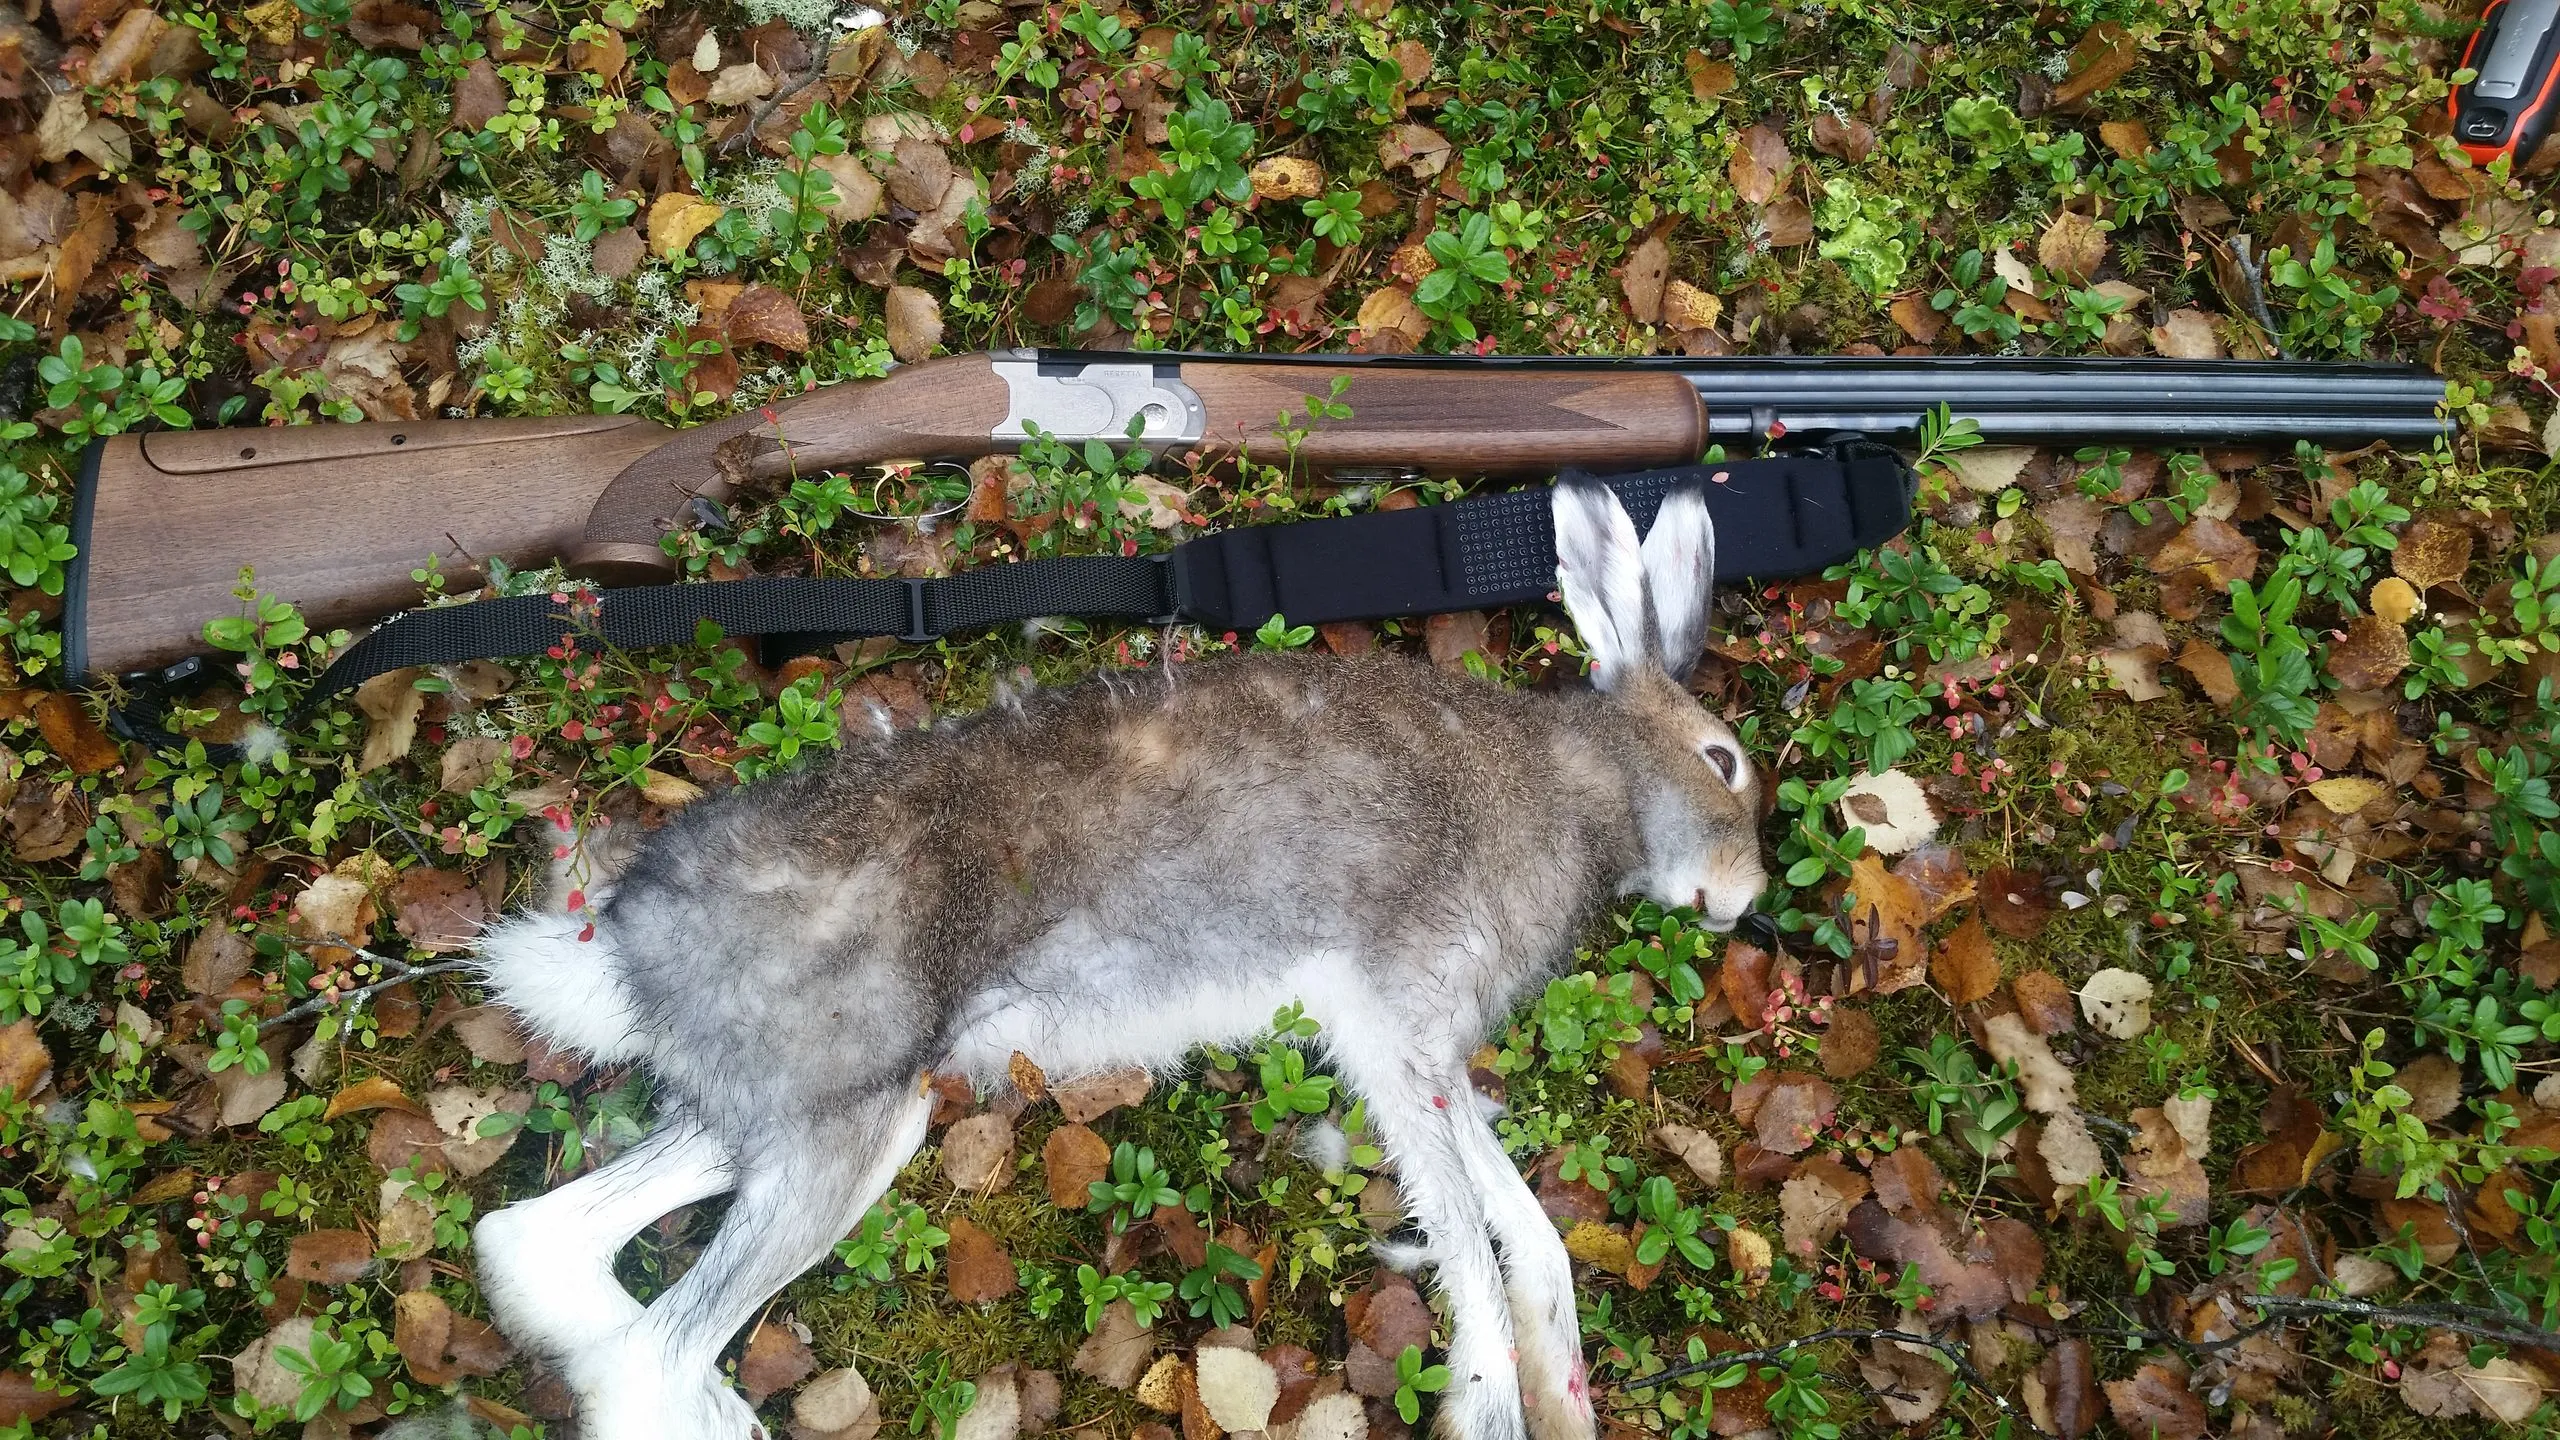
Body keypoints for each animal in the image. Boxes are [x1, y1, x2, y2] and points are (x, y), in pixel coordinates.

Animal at [465, 475, 1767, 1440]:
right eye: (1724, 762)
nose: (1743, 897)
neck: (1581, 786)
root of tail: (628, 931)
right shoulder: (1399, 1030)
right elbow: (1473, 1253)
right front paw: (1496, 1406)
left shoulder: (1421, 1054)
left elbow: (1530, 1236)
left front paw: (1566, 1395)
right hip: (847, 1117)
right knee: (645, 1361)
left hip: (810, 1104)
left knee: (538, 1248)